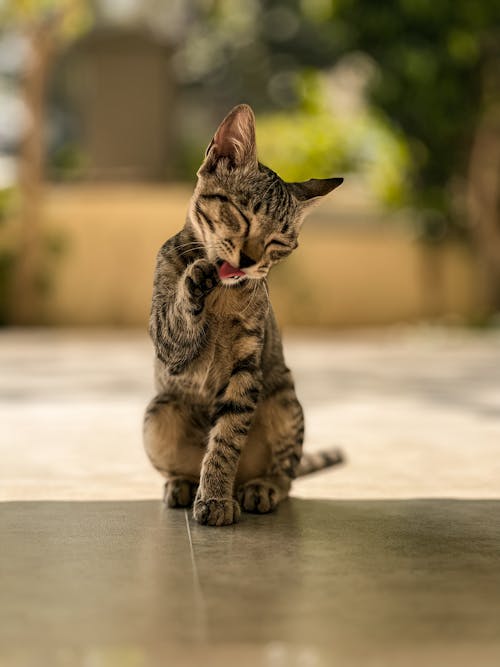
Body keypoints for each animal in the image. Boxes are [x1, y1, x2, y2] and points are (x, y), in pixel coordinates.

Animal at [143, 105, 342, 528]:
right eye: (241, 214)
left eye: (278, 241)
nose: (249, 261)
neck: (221, 298)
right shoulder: (166, 343)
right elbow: (179, 316)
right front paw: (194, 278)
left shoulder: (246, 368)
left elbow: (226, 438)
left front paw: (216, 497)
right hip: (157, 414)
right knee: (180, 467)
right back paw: (182, 484)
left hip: (285, 402)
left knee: (286, 475)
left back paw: (258, 488)